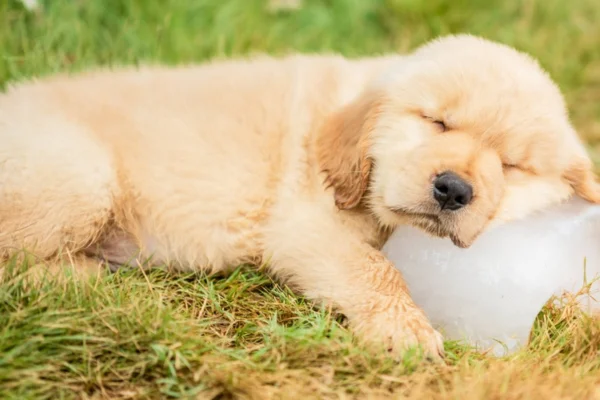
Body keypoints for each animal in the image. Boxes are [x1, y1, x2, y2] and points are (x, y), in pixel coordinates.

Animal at [1, 35, 600, 360]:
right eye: (437, 121)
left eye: (511, 165)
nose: (454, 189)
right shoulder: (306, 226)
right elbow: (376, 270)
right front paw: (405, 330)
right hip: (81, 178)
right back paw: (88, 280)